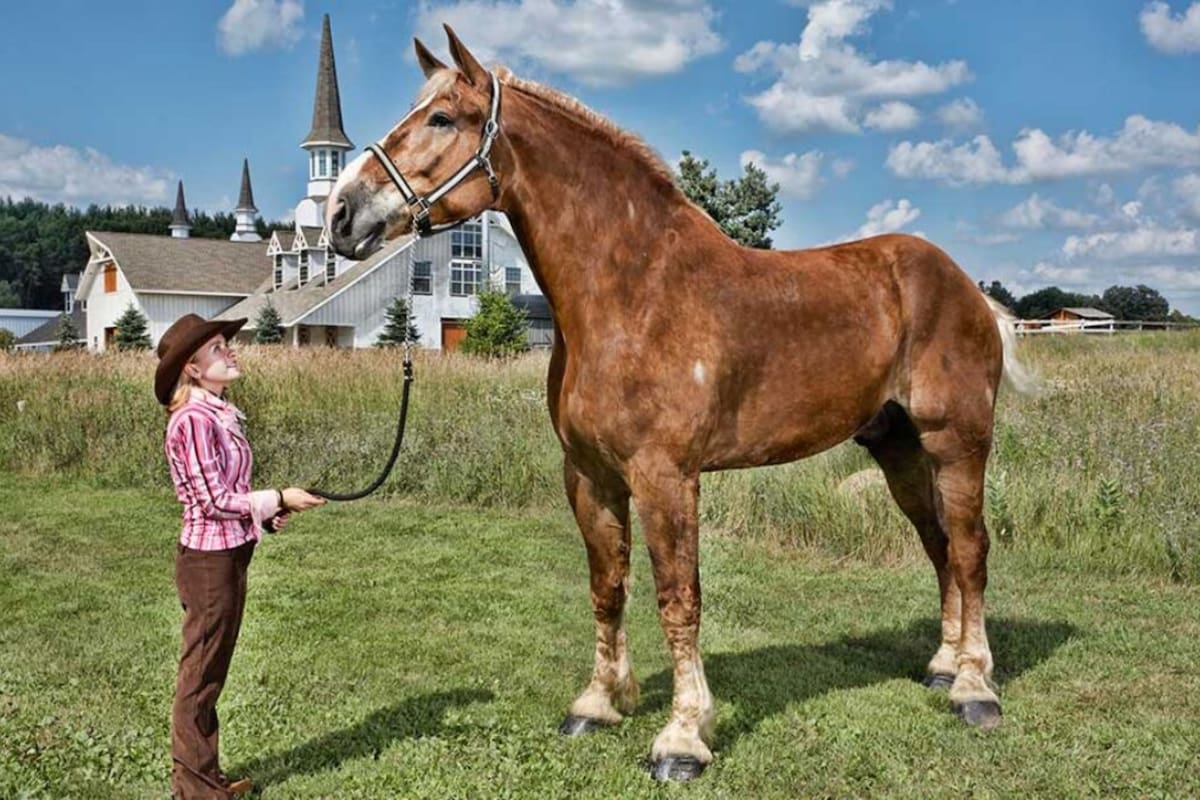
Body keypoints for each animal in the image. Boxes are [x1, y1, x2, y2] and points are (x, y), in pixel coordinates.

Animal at [326, 25, 1036, 781]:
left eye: (441, 118)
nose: (341, 213)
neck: (633, 294)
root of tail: (969, 290)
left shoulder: (665, 477)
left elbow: (678, 598)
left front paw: (683, 736)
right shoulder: (591, 477)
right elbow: (608, 587)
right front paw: (598, 704)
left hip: (957, 442)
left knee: (969, 549)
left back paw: (974, 688)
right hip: (898, 447)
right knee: (938, 545)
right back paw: (942, 666)